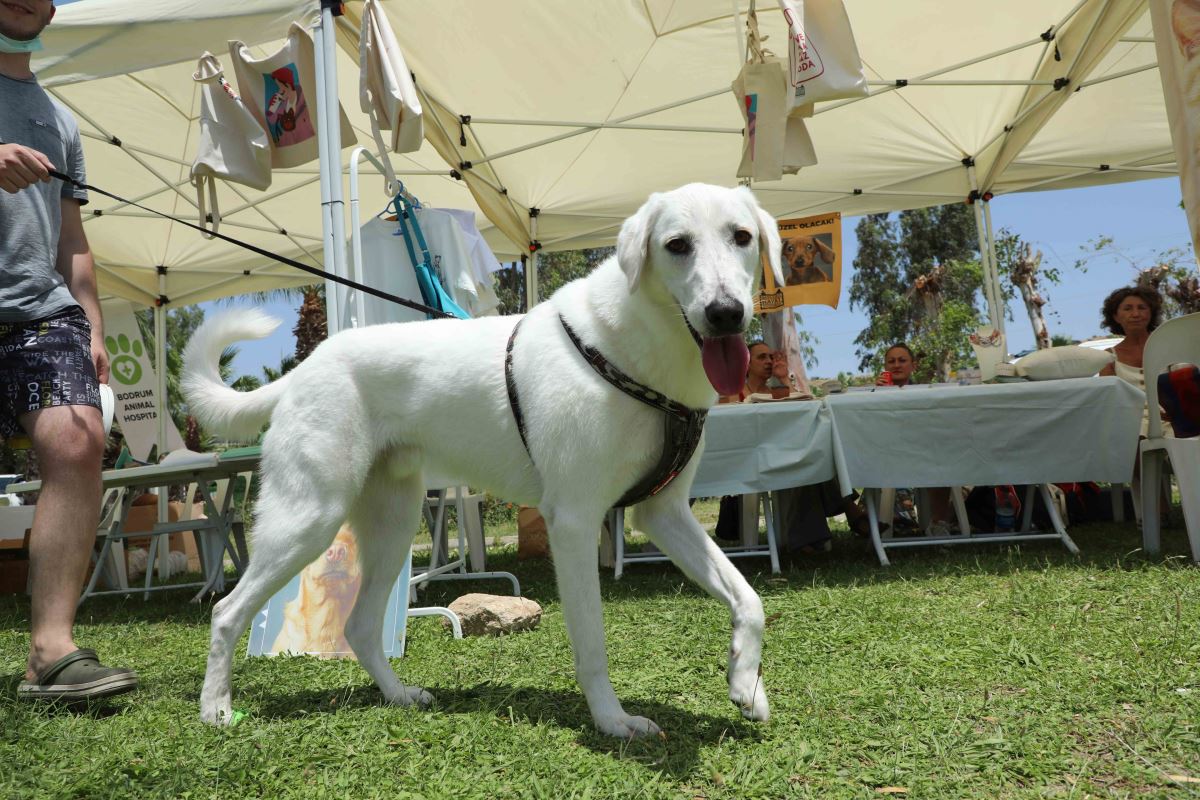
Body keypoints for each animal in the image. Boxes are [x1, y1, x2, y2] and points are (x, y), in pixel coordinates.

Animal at [186, 183, 782, 738]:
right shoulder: (574, 522)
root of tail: (301, 371)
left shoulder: (664, 513)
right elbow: (592, 644)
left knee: (360, 627)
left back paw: (398, 696)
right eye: (677, 245)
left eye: (742, 237)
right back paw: (215, 709)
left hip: (392, 526)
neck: (633, 349)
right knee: (225, 612)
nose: (727, 314)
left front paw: (745, 685)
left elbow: (749, 598)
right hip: (309, 518)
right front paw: (613, 722)